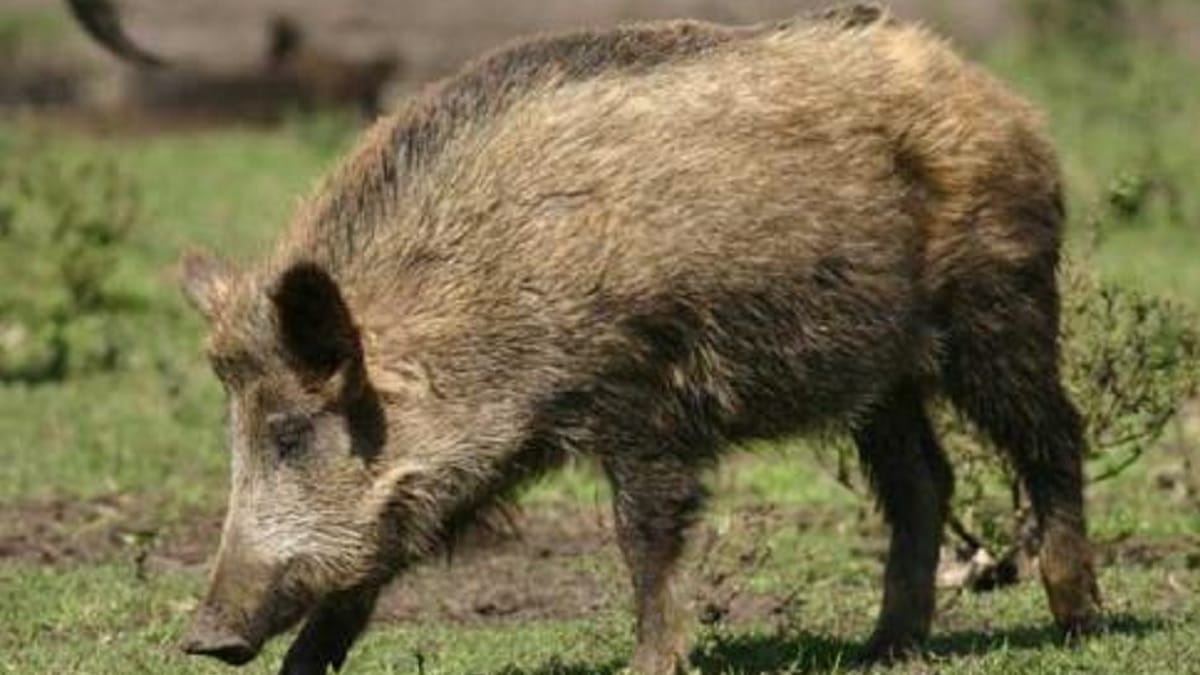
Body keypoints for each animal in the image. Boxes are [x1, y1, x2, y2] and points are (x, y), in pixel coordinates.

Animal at [161, 4, 1102, 674]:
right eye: (235, 431)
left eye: (290, 432)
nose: (206, 636)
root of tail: (1006, 101)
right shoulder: (478, 456)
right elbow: (389, 552)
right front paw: (300, 668)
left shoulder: (646, 397)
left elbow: (644, 534)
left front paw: (648, 665)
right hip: (880, 370)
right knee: (923, 479)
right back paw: (883, 649)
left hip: (1000, 300)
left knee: (1054, 433)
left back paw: (1076, 623)